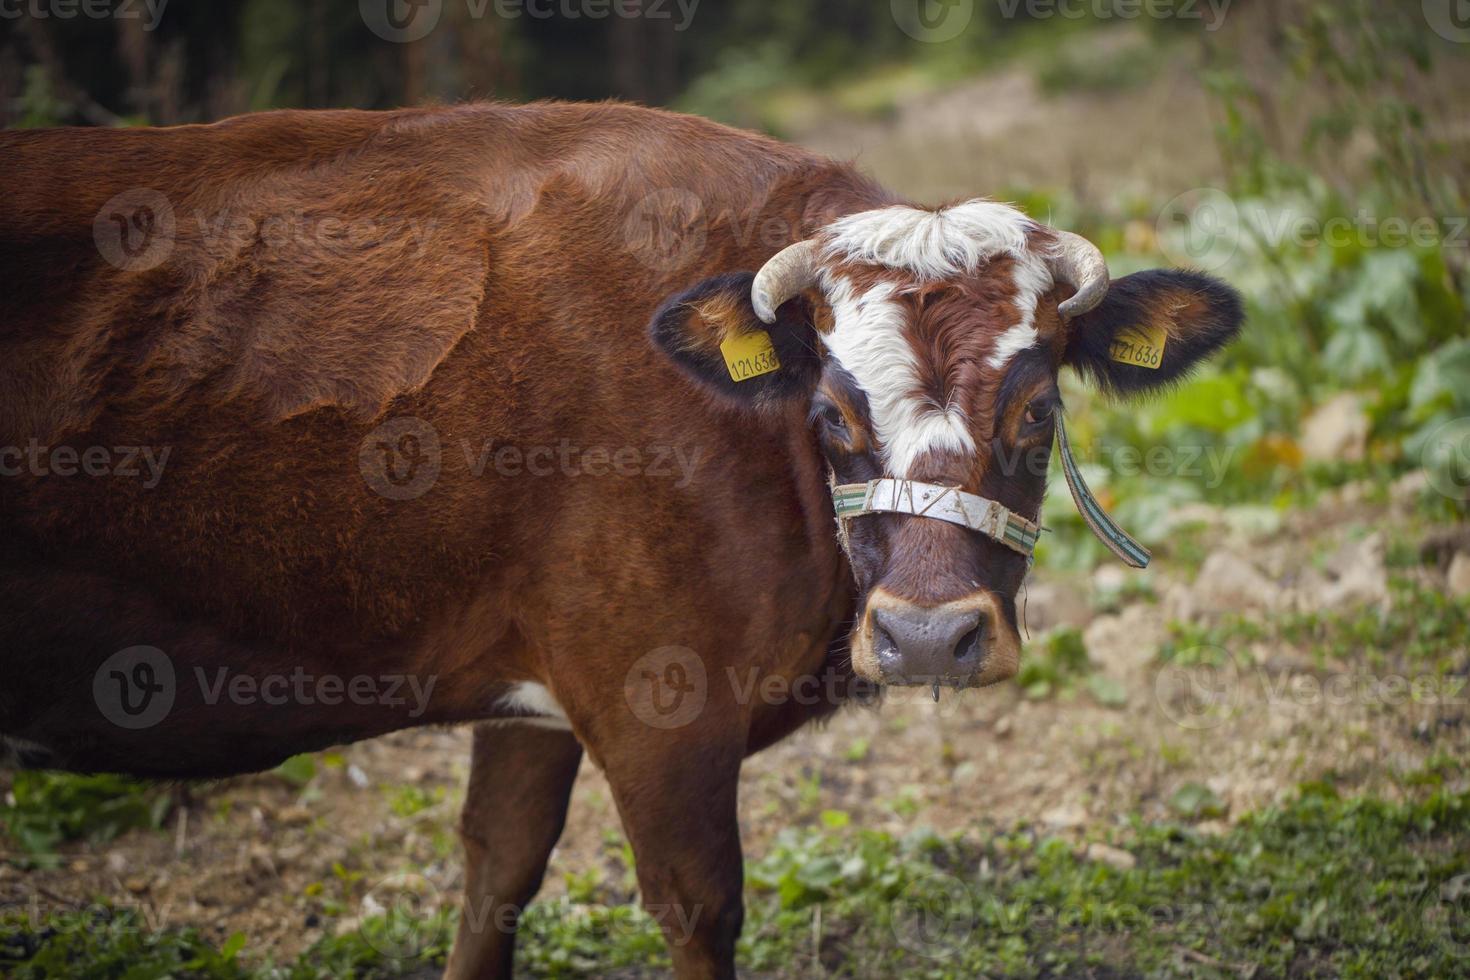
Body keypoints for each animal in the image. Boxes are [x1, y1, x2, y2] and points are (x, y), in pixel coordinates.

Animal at [0, 103, 1240, 975]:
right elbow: (697, 908)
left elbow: (494, 872)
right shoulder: (659, 707)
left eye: (1035, 412)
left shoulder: (531, 692)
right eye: (833, 416)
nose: (930, 637)